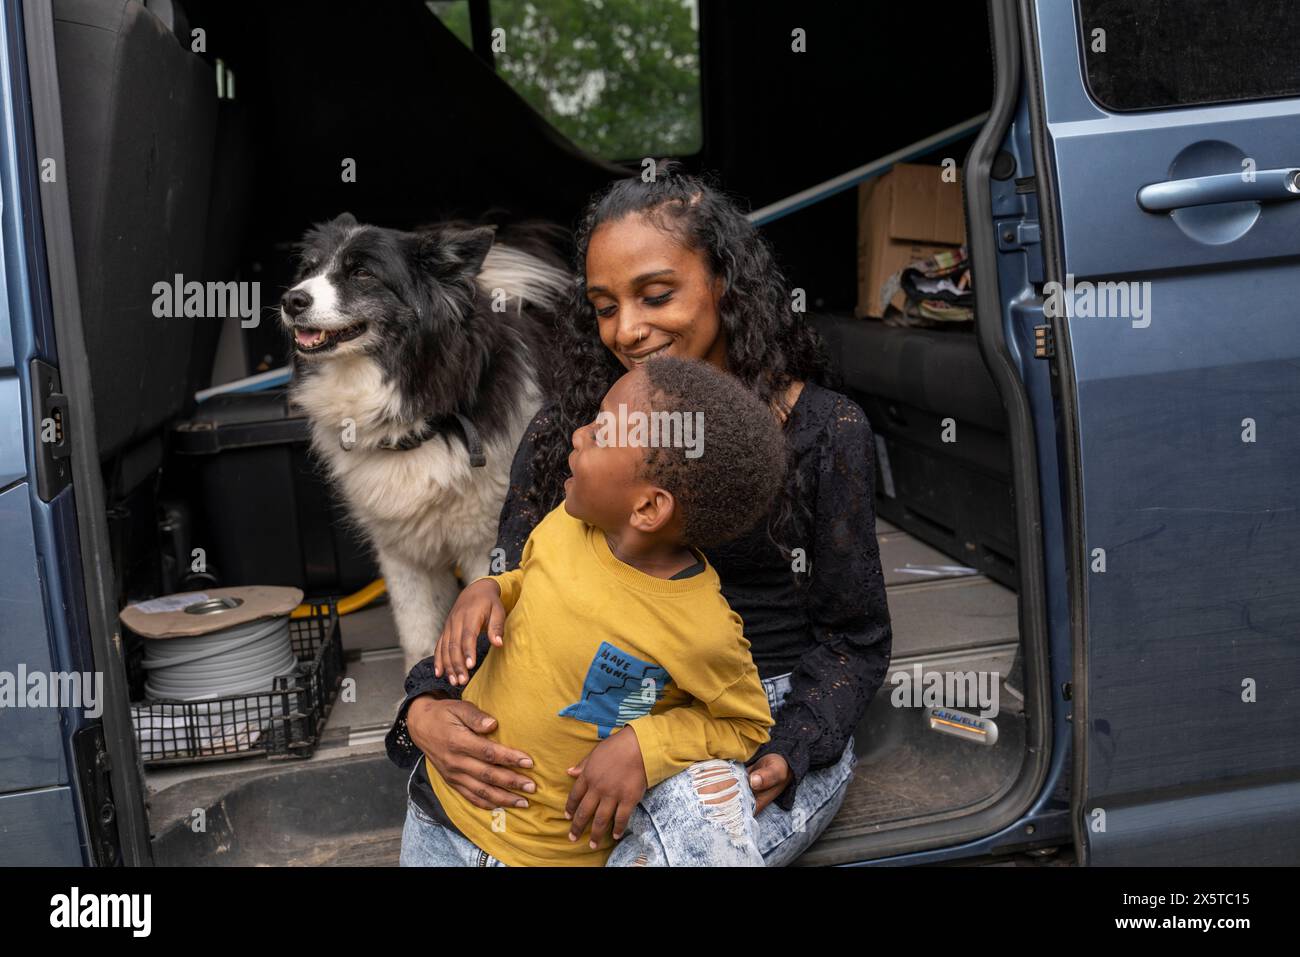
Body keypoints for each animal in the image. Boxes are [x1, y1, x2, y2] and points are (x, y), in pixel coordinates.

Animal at [279, 213, 569, 670]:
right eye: (308, 268)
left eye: (362, 273)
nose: (291, 300)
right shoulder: (401, 551)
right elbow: (417, 630)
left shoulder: (483, 540)